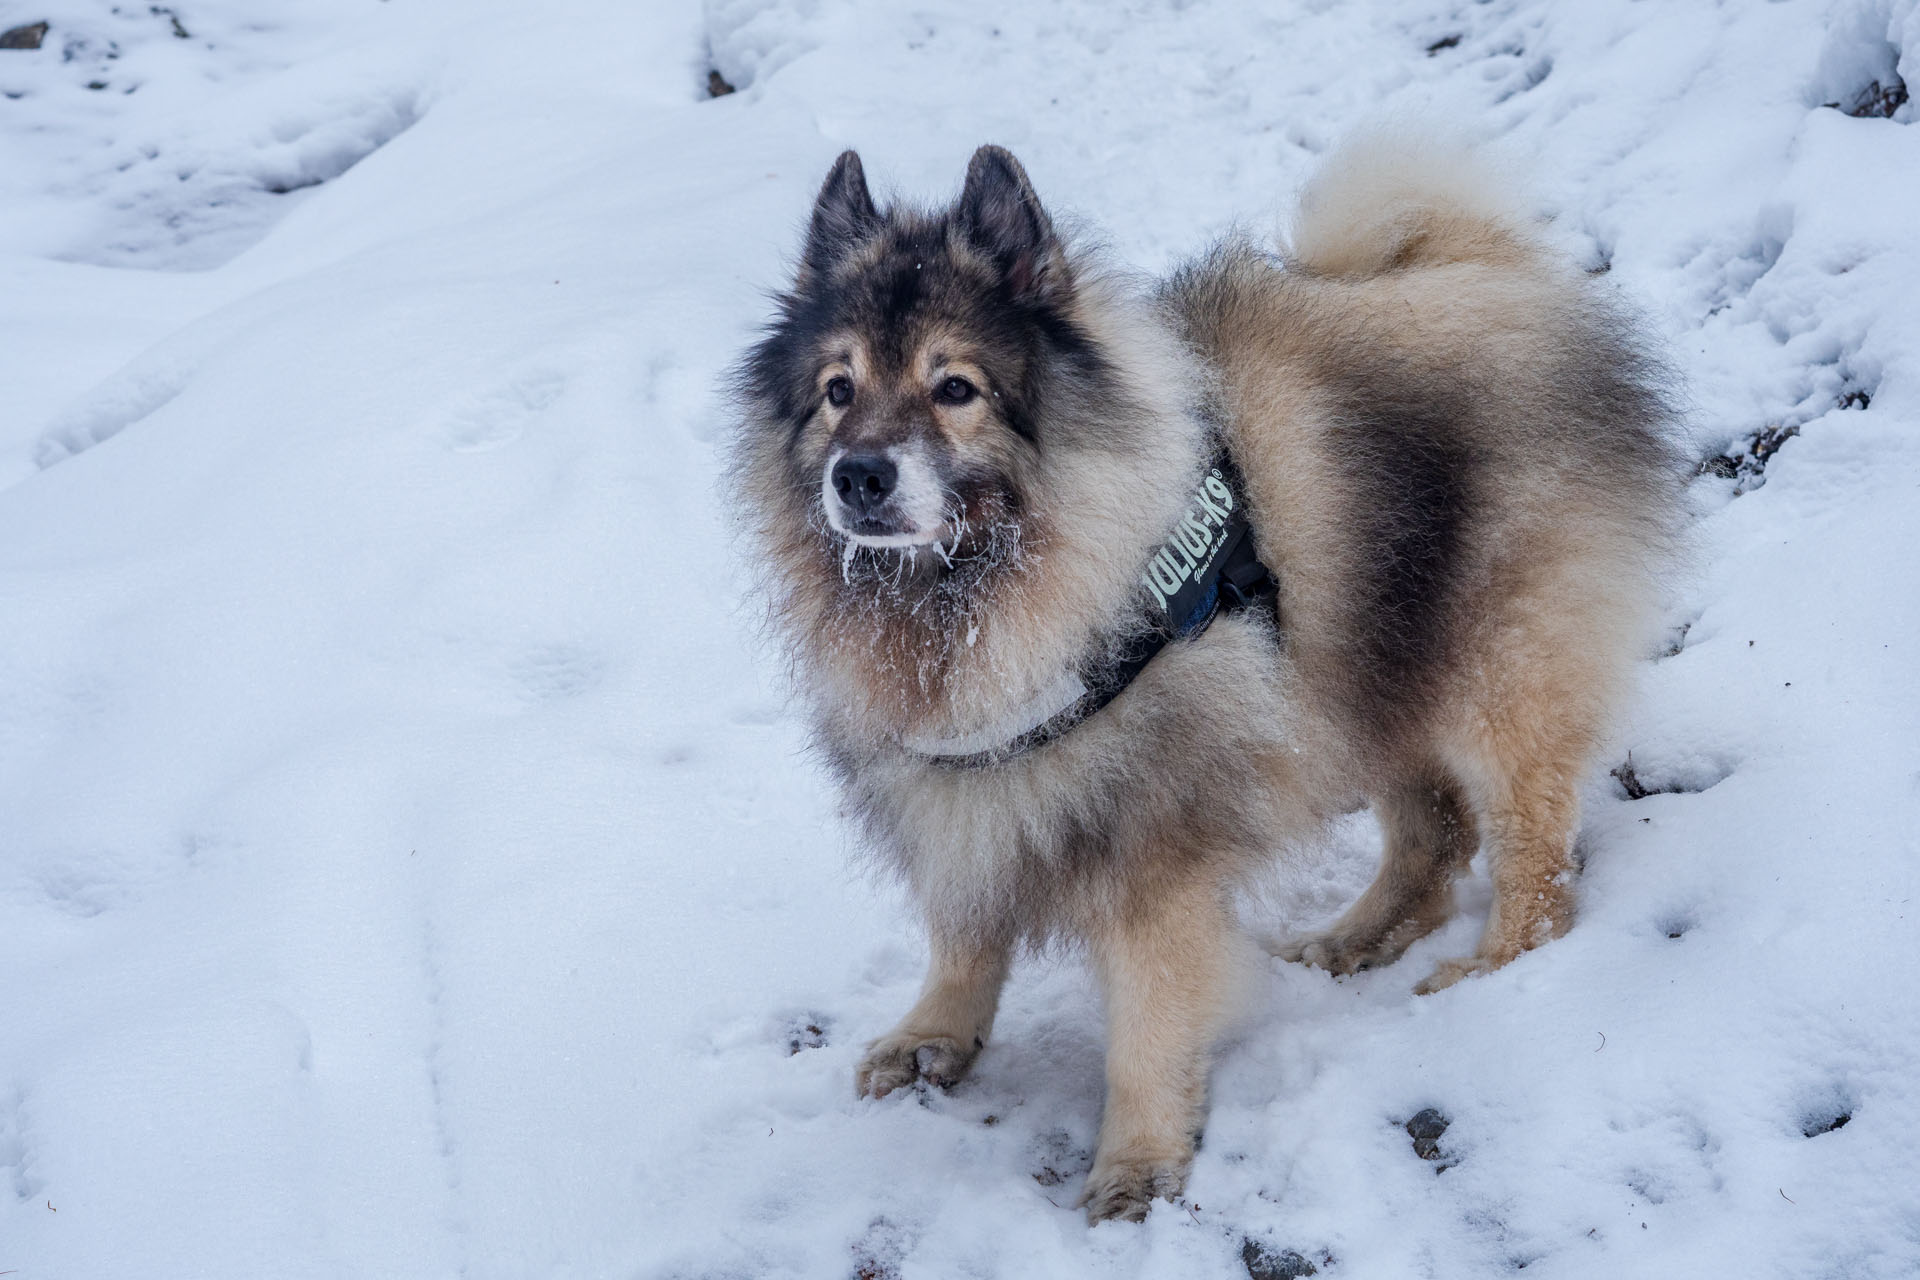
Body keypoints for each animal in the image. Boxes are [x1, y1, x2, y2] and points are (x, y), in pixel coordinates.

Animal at [725, 135, 1689, 1228]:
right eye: (837, 389)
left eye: (955, 387)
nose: (859, 476)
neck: (971, 597)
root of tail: (1490, 264)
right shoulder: (972, 792)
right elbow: (963, 930)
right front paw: (934, 1033)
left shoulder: (1153, 849)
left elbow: (1147, 1023)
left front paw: (1138, 1162)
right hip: (1358, 670)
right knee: (1434, 833)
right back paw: (1357, 938)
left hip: (1493, 673)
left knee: (1533, 860)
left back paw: (1492, 970)